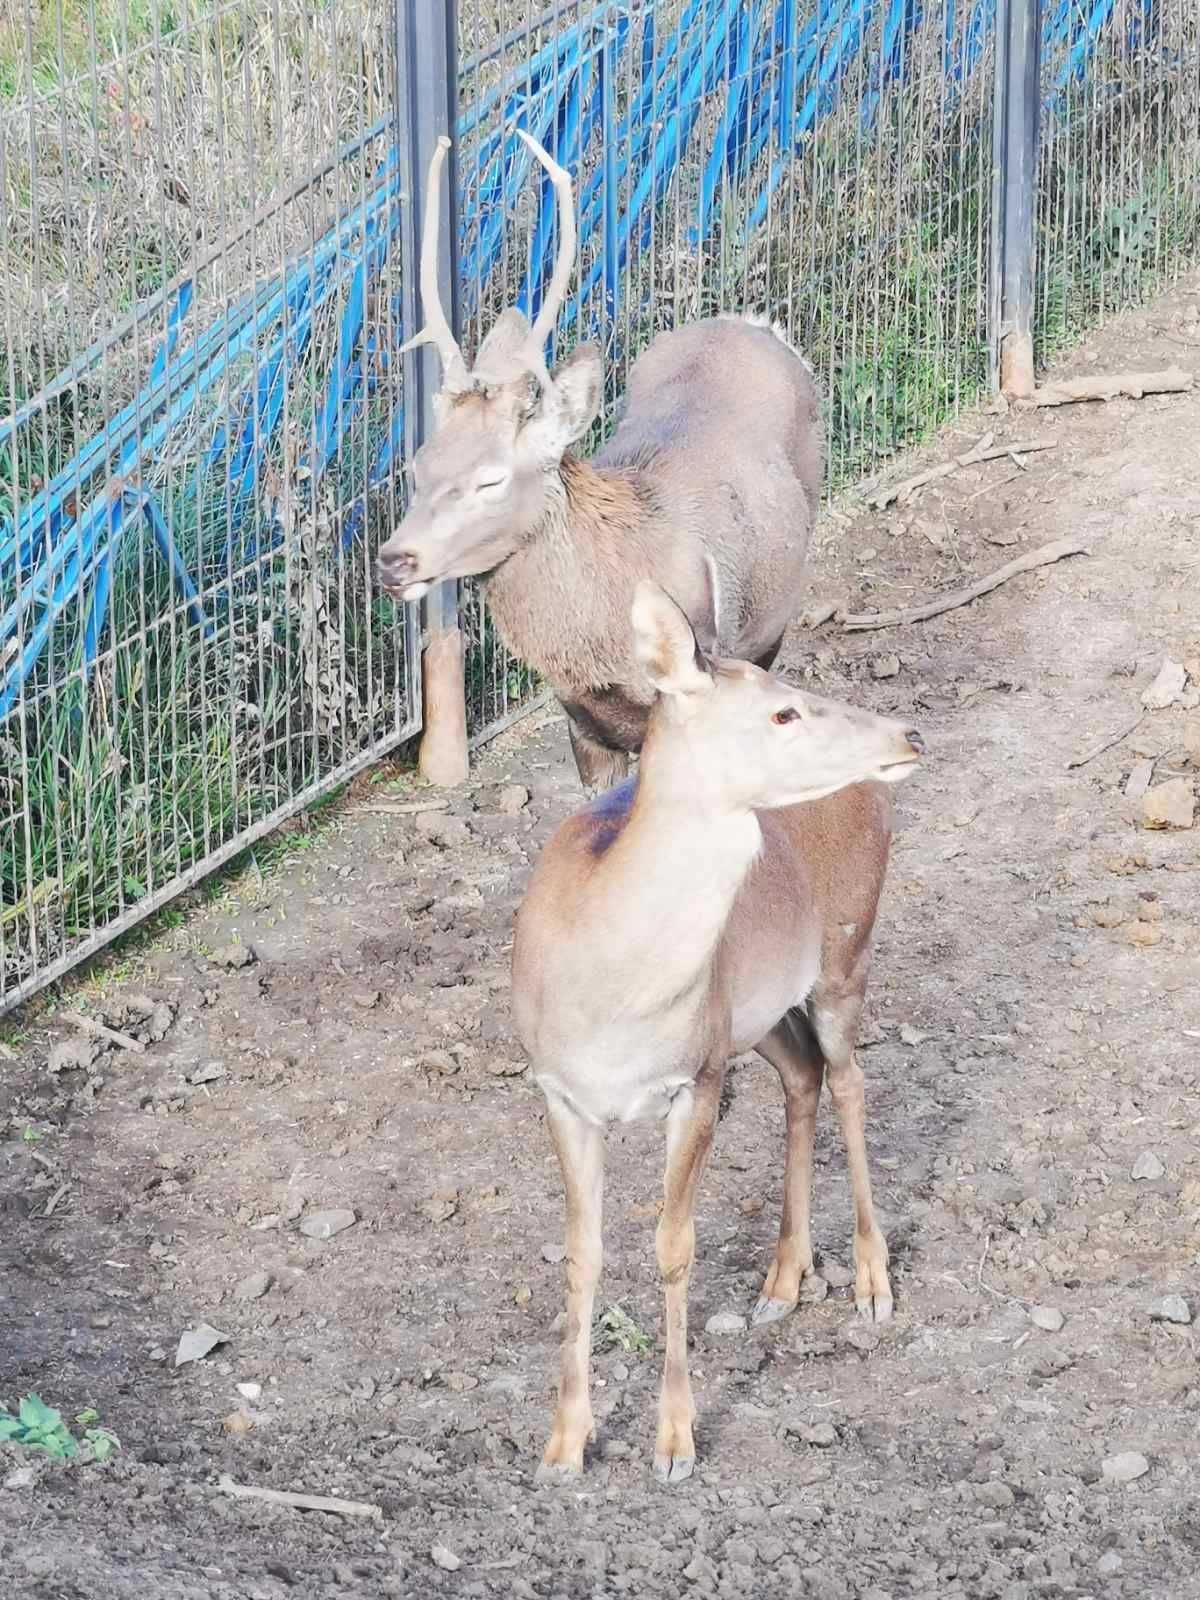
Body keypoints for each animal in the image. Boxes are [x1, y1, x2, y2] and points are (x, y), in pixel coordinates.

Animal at [382, 132, 825, 793]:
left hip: (777, 610)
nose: (395, 560)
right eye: (420, 465)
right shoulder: (583, 723)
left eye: (491, 478)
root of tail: (756, 323)